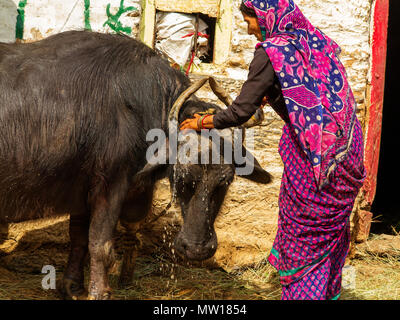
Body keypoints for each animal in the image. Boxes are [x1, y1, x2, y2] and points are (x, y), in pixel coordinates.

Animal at [0, 30, 272, 300]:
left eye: (226, 180)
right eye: (182, 177)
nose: (197, 249)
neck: (139, 107)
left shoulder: (83, 189)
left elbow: (79, 239)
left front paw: (73, 288)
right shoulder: (110, 184)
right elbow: (100, 246)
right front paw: (99, 292)